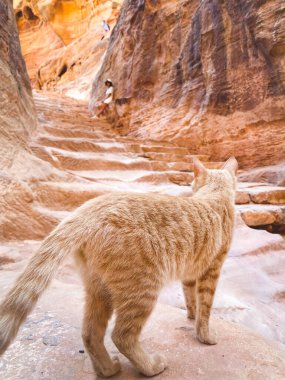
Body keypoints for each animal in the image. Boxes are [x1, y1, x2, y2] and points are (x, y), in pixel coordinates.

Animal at [0, 157, 236, 378]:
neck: (216, 194)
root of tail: (89, 209)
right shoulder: (212, 269)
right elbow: (205, 307)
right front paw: (205, 336)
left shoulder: (191, 272)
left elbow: (190, 298)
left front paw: (191, 316)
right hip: (143, 291)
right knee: (122, 336)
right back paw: (151, 366)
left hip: (99, 290)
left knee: (90, 333)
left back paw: (108, 369)